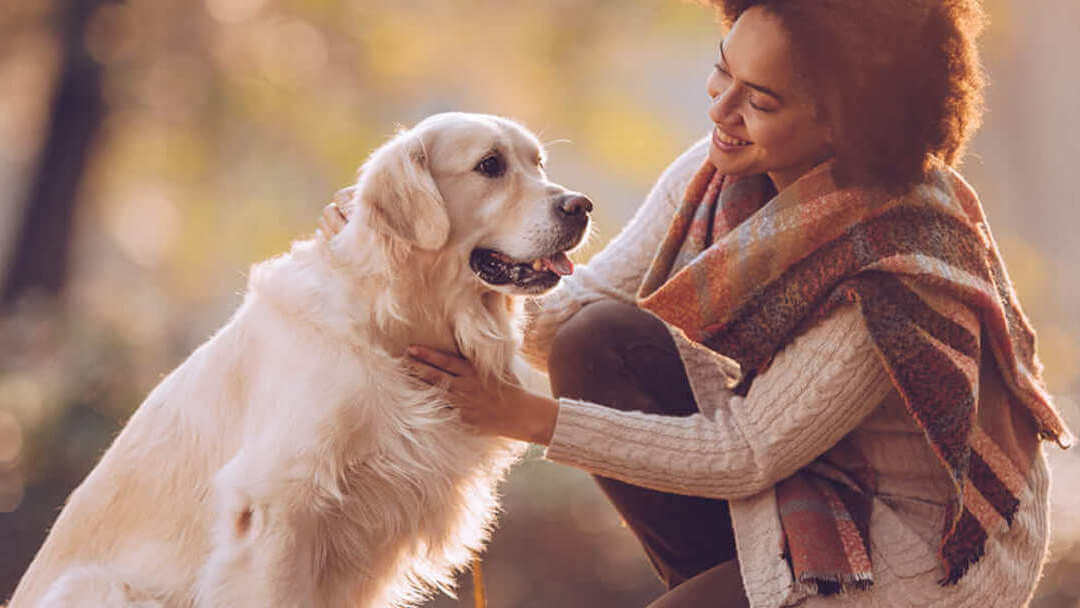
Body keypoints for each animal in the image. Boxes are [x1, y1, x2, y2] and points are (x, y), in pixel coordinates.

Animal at [8, 111, 596, 604]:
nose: (581, 205)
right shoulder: (276, 506)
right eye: (490, 166)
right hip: (100, 587)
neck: (391, 322)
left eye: (538, 163)